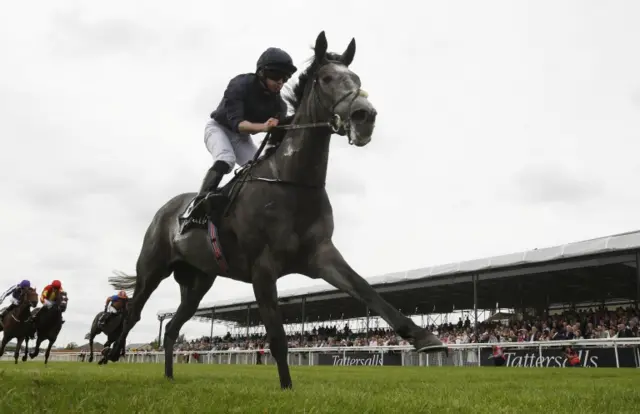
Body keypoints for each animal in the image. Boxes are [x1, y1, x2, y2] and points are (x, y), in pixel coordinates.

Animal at [107, 29, 448, 388]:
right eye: (327, 78)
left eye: (356, 79)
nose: (364, 116)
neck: (292, 183)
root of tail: (167, 210)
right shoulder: (263, 267)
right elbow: (277, 336)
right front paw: (286, 388)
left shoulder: (321, 254)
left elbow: (366, 290)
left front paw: (424, 338)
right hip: (152, 268)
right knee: (135, 311)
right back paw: (111, 352)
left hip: (198, 282)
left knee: (172, 326)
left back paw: (169, 375)